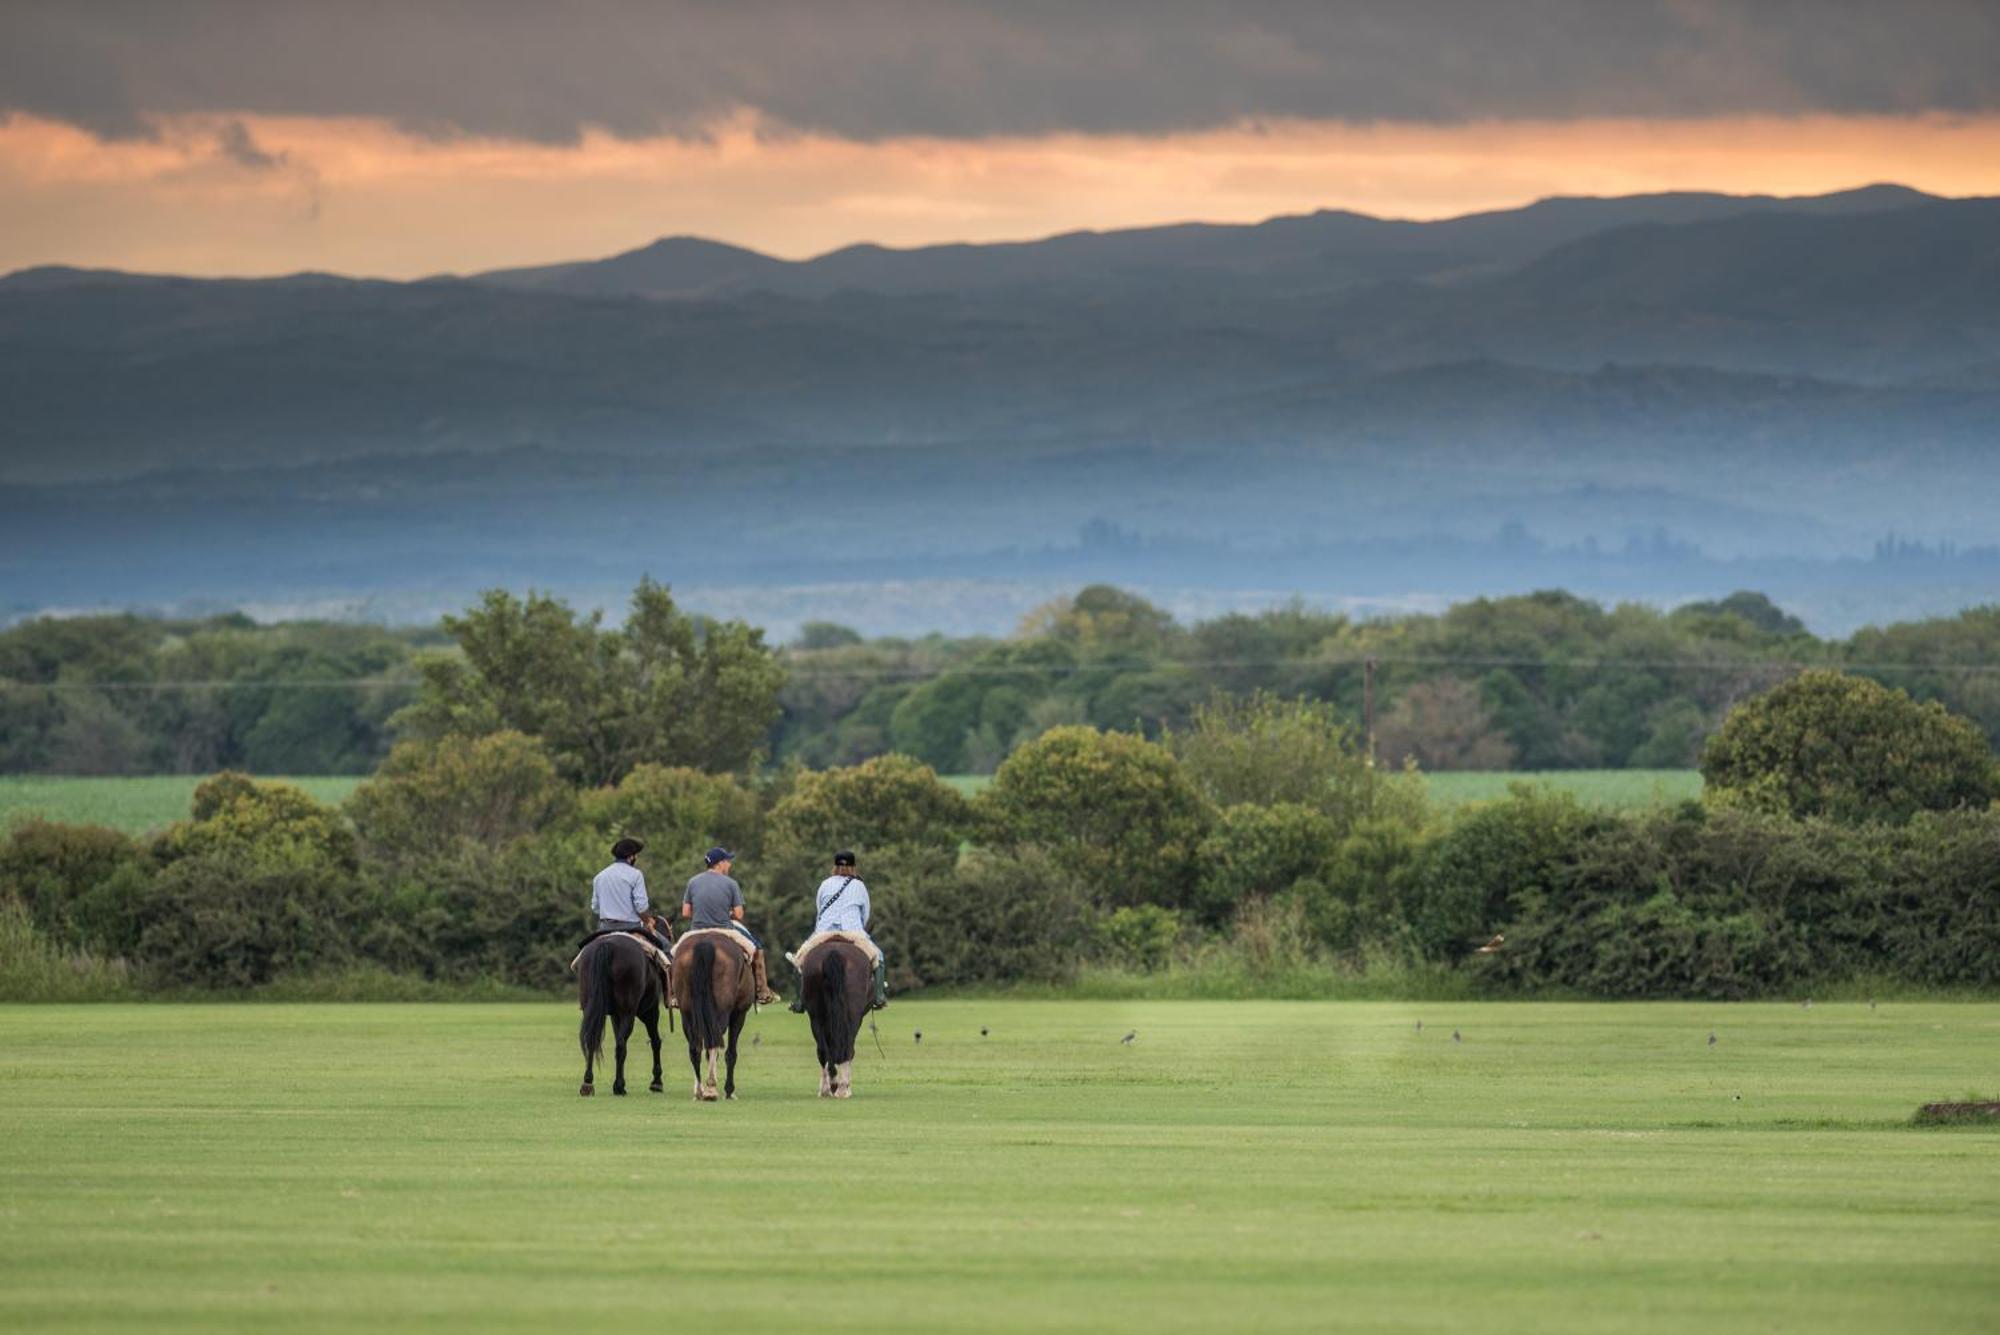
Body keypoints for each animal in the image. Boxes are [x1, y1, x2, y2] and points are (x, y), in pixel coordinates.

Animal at [576, 935, 668, 1103]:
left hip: (590, 1008)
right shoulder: (650, 1012)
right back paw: (619, 1086)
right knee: (620, 1046)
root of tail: (607, 944)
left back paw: (588, 1083)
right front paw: (656, 1082)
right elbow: (655, 1042)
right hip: (629, 1012)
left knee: (592, 1040)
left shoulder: (615, 1016)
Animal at [680, 935, 756, 1103]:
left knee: (695, 1048)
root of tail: (705, 943)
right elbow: (731, 1053)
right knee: (713, 1045)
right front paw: (729, 1090)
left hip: (687, 1013)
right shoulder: (738, 1014)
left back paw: (700, 1091)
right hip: (721, 1013)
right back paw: (711, 1088)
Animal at [800, 939, 872, 1095]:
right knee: (847, 1048)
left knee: (823, 1050)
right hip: (852, 1017)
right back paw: (842, 1088)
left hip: (816, 1017)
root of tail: (834, 952)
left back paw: (829, 1087)